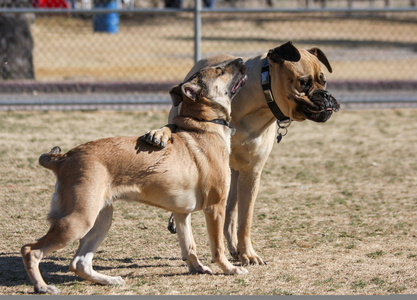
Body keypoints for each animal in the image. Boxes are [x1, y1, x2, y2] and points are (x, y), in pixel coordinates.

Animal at [22, 58, 247, 296]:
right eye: (220, 70)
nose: (241, 60)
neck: (205, 125)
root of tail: (64, 158)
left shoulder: (180, 213)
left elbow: (189, 246)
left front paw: (197, 268)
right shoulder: (215, 207)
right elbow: (218, 247)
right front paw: (230, 269)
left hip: (101, 219)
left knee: (79, 263)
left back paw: (109, 280)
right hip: (79, 219)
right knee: (30, 250)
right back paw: (42, 286)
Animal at [143, 41, 338, 264]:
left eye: (324, 81)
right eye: (304, 82)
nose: (327, 97)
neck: (260, 101)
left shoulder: (251, 173)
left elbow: (244, 220)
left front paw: (248, 253)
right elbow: (172, 127)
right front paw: (159, 133)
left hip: (234, 176)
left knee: (230, 214)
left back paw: (234, 247)